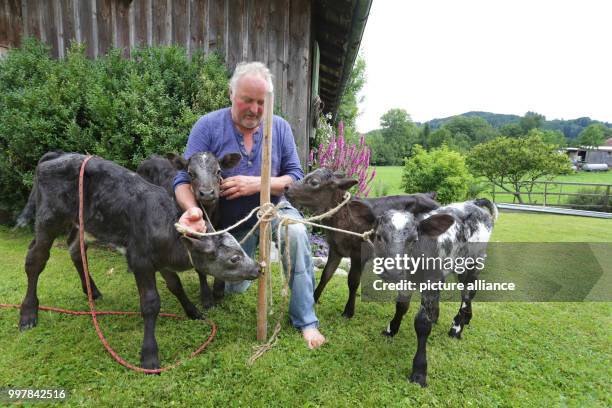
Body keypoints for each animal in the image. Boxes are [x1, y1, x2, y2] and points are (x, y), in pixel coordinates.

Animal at [137, 152, 240, 306]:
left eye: (219, 171)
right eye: (190, 173)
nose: (207, 193)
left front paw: (218, 289)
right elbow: (200, 269)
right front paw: (207, 298)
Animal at [368, 198, 498, 386]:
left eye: (414, 239)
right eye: (379, 236)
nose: (392, 271)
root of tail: (473, 202)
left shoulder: (428, 283)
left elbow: (422, 323)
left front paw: (419, 372)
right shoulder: (407, 282)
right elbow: (401, 307)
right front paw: (391, 329)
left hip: (473, 262)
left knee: (468, 294)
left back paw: (456, 328)